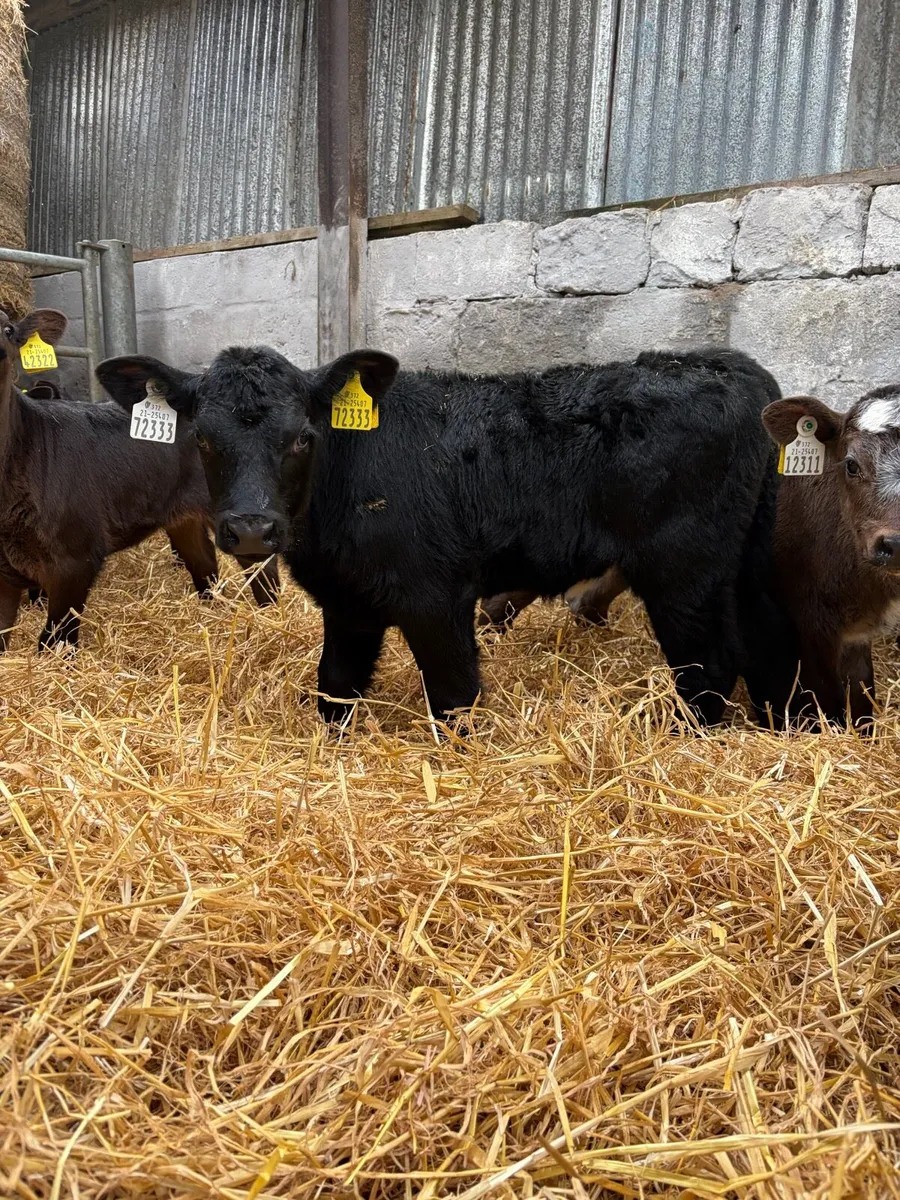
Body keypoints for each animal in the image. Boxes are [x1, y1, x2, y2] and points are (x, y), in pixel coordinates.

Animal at [0, 310, 279, 652]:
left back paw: (271, 618)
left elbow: (55, 639)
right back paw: (211, 612)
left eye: (7, 329)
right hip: (182, 515)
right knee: (203, 561)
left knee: (262, 568)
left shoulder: (76, 558)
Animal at [96, 345, 798, 728]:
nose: (249, 527)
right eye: (203, 439)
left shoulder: (437, 598)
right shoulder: (348, 603)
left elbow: (455, 696)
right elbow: (335, 687)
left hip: (684, 570)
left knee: (709, 667)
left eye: (301, 437)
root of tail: (729, 365)